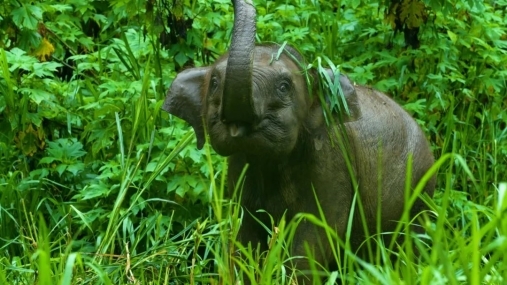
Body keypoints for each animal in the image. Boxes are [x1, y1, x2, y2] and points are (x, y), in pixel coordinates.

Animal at [163, 0, 436, 280]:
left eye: (284, 87)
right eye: (215, 82)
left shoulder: (330, 161)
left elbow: (319, 230)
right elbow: (245, 230)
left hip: (420, 186)